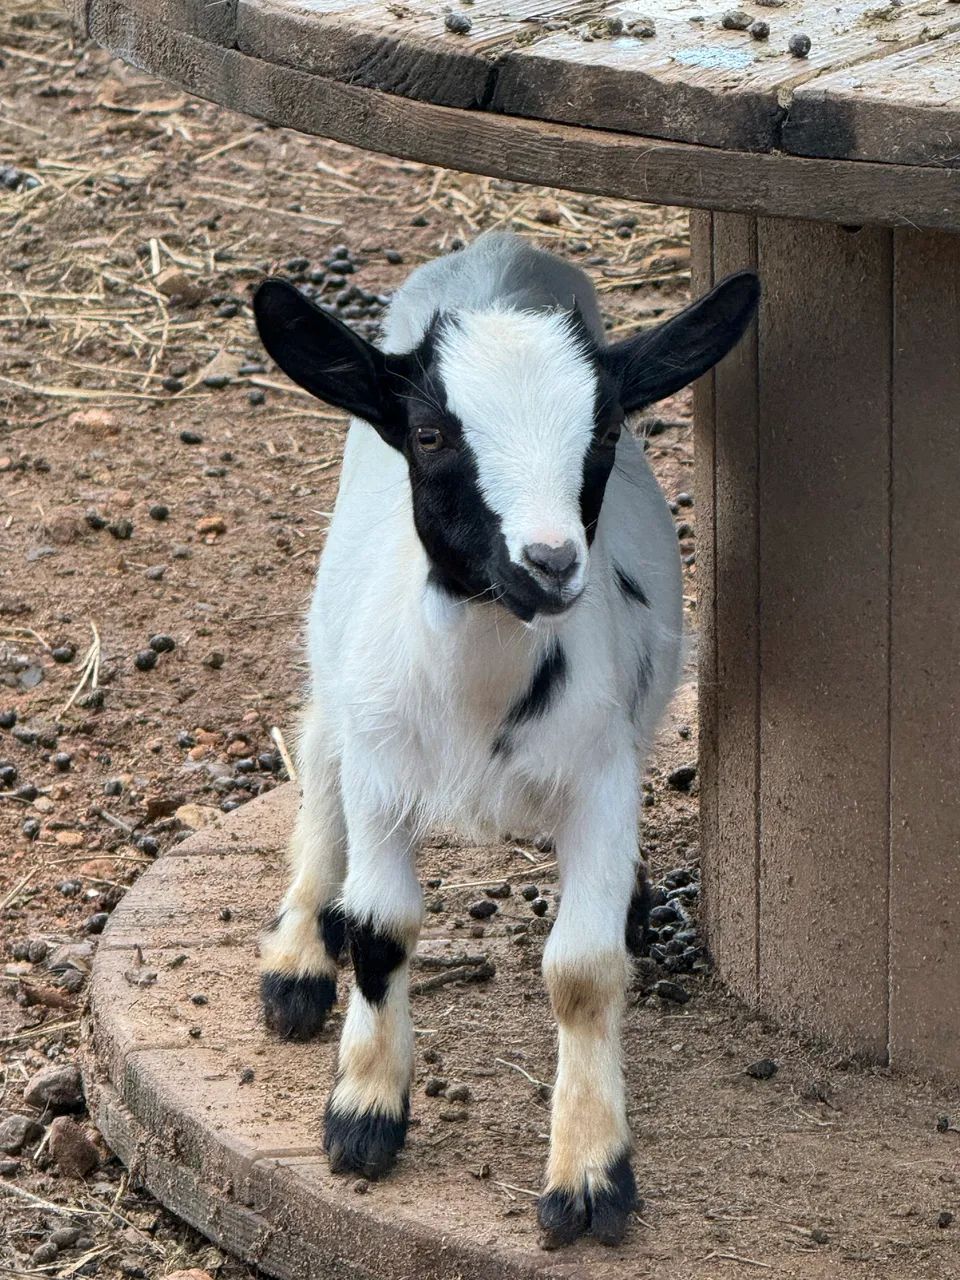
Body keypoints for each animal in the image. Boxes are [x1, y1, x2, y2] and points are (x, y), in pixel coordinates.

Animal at [252, 232, 758, 1249]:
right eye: (430, 434)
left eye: (604, 434)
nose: (551, 564)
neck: (481, 708)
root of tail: (498, 252)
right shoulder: (383, 769)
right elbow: (380, 929)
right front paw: (364, 1116)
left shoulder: (601, 776)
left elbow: (583, 970)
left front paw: (589, 1176)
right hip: (336, 645)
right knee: (318, 748)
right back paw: (295, 959)